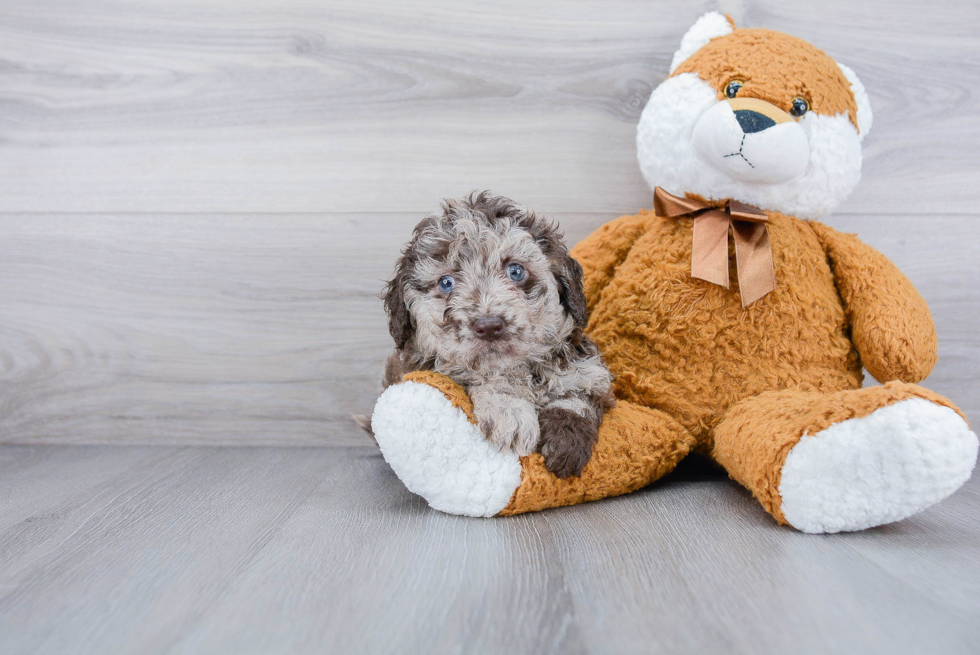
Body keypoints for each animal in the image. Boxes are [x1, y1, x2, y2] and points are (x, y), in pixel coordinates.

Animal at [380, 192, 612, 480]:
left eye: (516, 271)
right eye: (446, 283)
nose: (489, 326)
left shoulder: (591, 375)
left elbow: (579, 395)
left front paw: (566, 444)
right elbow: (481, 377)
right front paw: (509, 411)